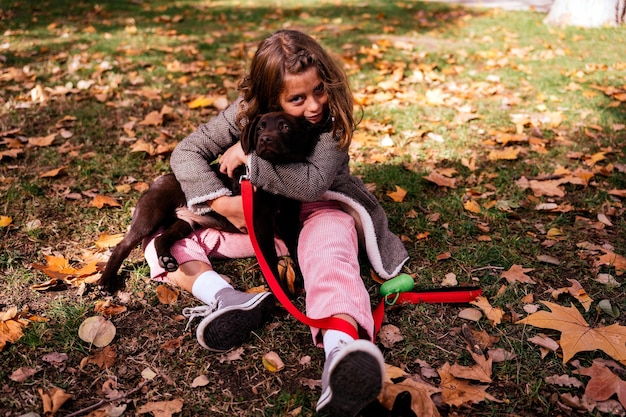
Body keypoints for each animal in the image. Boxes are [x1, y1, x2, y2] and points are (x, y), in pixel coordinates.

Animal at [100, 110, 314, 292]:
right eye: (260, 128)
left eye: (285, 127)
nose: (265, 139)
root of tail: (157, 181)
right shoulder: (260, 224)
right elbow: (269, 260)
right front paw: (281, 293)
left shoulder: (289, 221)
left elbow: (297, 250)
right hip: (150, 215)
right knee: (123, 246)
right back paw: (105, 281)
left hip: (185, 222)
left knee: (161, 238)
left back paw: (167, 260)